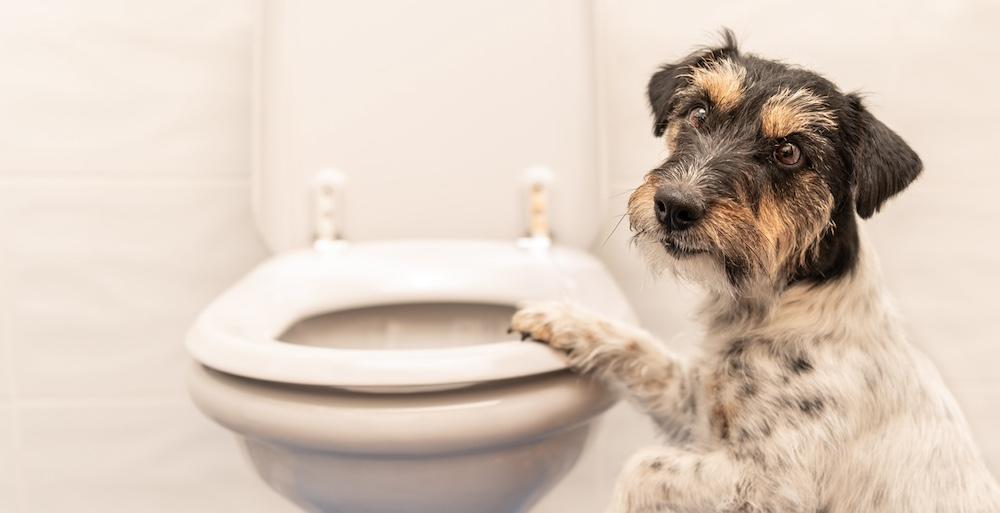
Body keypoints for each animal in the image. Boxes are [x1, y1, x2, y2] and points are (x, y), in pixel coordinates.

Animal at [512, 32, 1000, 512]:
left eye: (788, 151)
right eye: (699, 112)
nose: (673, 205)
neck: (779, 306)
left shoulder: (771, 482)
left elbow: (641, 469)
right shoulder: (698, 407)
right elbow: (642, 350)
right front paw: (559, 319)